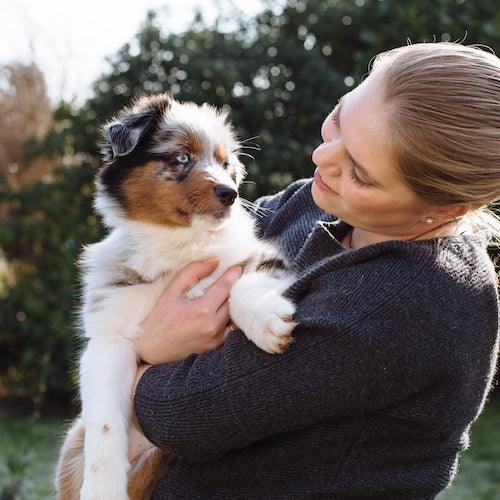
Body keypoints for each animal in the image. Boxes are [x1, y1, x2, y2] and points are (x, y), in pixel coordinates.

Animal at [54, 94, 296, 500]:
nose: (231, 194)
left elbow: (241, 283)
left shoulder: (265, 258)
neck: (179, 244)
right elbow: (104, 426)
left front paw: (266, 323)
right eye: (181, 157)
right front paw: (102, 489)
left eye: (225, 164)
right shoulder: (107, 337)